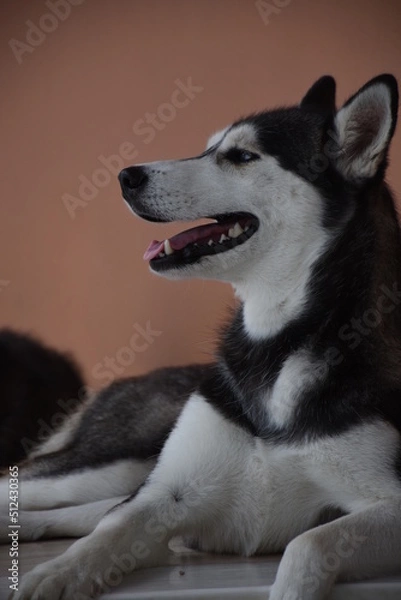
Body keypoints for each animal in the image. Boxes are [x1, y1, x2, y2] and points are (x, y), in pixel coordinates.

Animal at [4, 76, 400, 600]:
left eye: (241, 156)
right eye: (209, 147)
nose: (126, 175)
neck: (275, 347)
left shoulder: (384, 501)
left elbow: (309, 544)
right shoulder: (165, 494)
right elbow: (104, 536)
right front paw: (52, 574)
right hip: (104, 463)